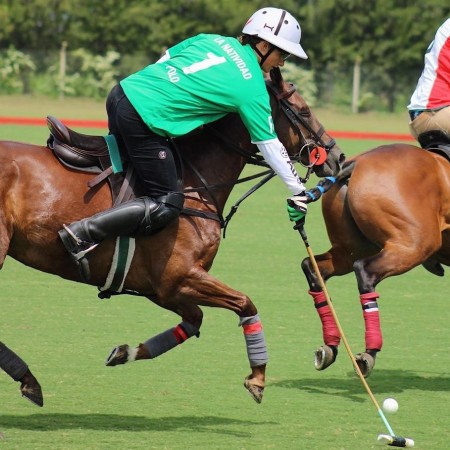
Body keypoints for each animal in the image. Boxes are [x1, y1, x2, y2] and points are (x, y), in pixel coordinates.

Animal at [0, 67, 344, 408]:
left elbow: (194, 320)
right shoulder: (179, 277)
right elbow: (245, 304)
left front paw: (125, 352)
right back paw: (28, 376)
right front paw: (257, 377)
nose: (338, 157)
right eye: (304, 111)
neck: (195, 183)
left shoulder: (161, 289)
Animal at [300, 140, 450, 376]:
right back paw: (369, 352)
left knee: (313, 266)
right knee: (365, 272)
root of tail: (354, 164)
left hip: (350, 248)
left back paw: (330, 345)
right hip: (413, 245)